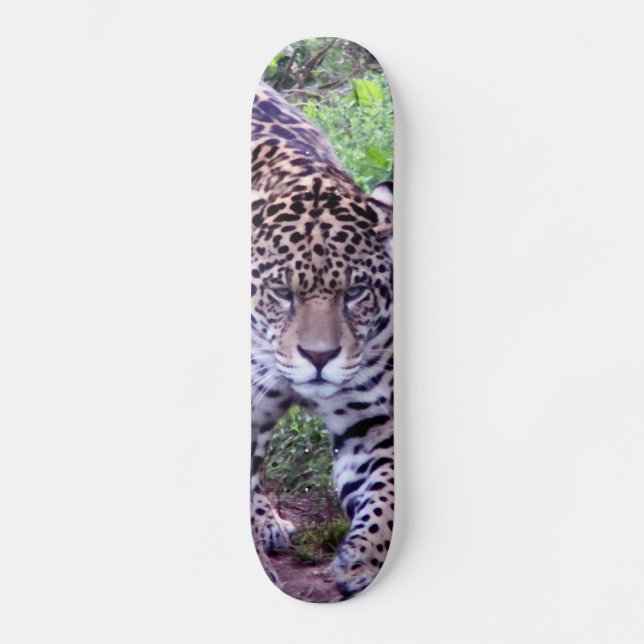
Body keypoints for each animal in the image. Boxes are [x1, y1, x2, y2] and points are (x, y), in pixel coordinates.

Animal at [250, 81, 394, 598]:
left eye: (354, 292)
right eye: (281, 292)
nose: (318, 356)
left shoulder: (370, 423)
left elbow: (386, 491)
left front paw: (363, 560)